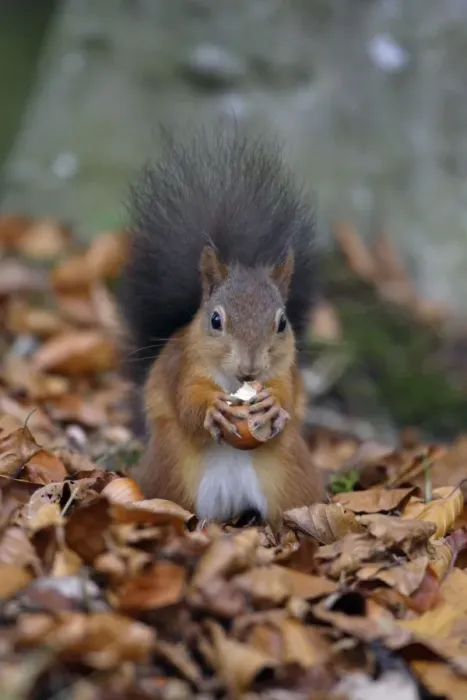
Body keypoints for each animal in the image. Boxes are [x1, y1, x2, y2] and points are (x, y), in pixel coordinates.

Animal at [117, 127, 323, 526]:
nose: (250, 367)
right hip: (171, 472)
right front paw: (213, 409)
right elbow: (187, 402)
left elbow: (288, 393)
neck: (234, 382)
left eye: (282, 323)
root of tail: (231, 504)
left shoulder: (286, 371)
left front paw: (273, 405)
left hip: (291, 476)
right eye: (215, 320)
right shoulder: (184, 368)